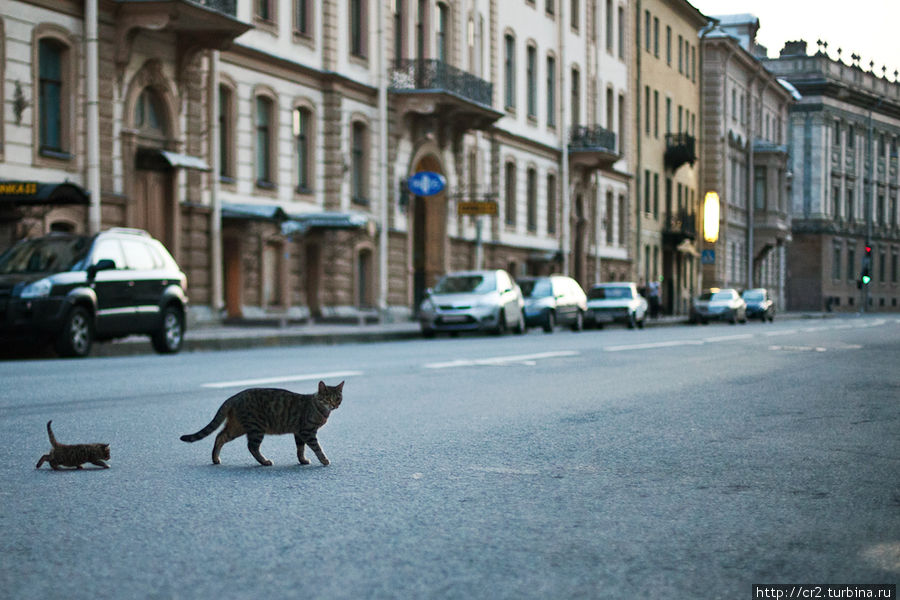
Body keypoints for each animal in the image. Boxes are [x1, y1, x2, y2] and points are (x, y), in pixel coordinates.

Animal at [180, 382, 344, 466]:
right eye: (328, 398)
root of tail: (235, 396)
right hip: (256, 428)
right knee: (251, 446)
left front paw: (302, 460)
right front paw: (324, 460)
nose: (334, 405)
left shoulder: (298, 433)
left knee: (220, 436)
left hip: (237, 427)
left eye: (338, 398)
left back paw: (215, 459)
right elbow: (317, 448)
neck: (320, 409)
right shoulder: (307, 432)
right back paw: (264, 461)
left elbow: (300, 449)